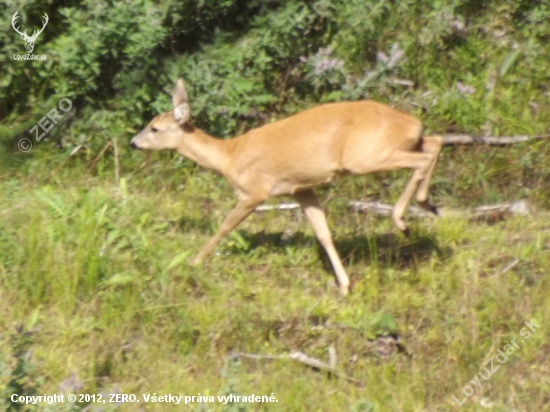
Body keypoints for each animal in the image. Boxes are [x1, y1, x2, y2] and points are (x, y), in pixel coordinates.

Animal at [130, 79, 444, 294]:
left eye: (155, 128)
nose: (133, 143)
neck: (228, 156)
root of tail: (413, 122)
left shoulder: (255, 191)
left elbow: (225, 226)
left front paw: (194, 261)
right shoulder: (301, 189)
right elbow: (323, 233)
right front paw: (344, 285)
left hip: (364, 157)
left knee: (424, 156)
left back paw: (403, 219)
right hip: (388, 148)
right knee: (434, 141)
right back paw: (427, 204)